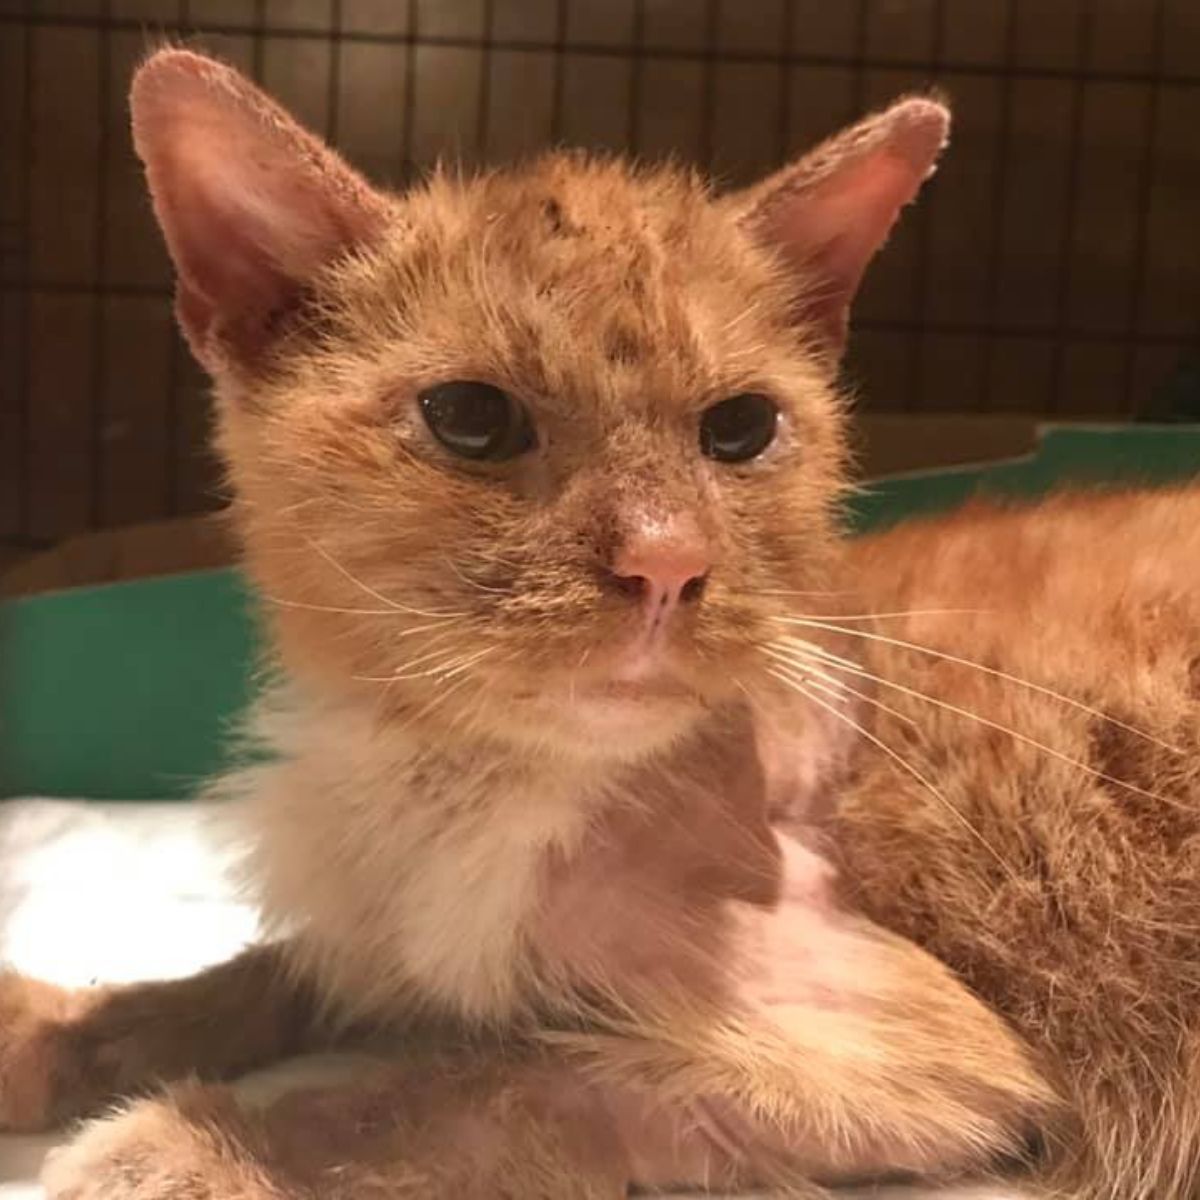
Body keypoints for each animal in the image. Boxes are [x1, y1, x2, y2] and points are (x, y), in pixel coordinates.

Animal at [0, 46, 1195, 1200]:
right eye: (471, 418)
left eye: (741, 428)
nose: (668, 562)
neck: (426, 785)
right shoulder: (383, 931)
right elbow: (282, 972)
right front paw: (65, 1027)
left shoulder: (914, 1053)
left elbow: (497, 1082)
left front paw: (208, 1146)